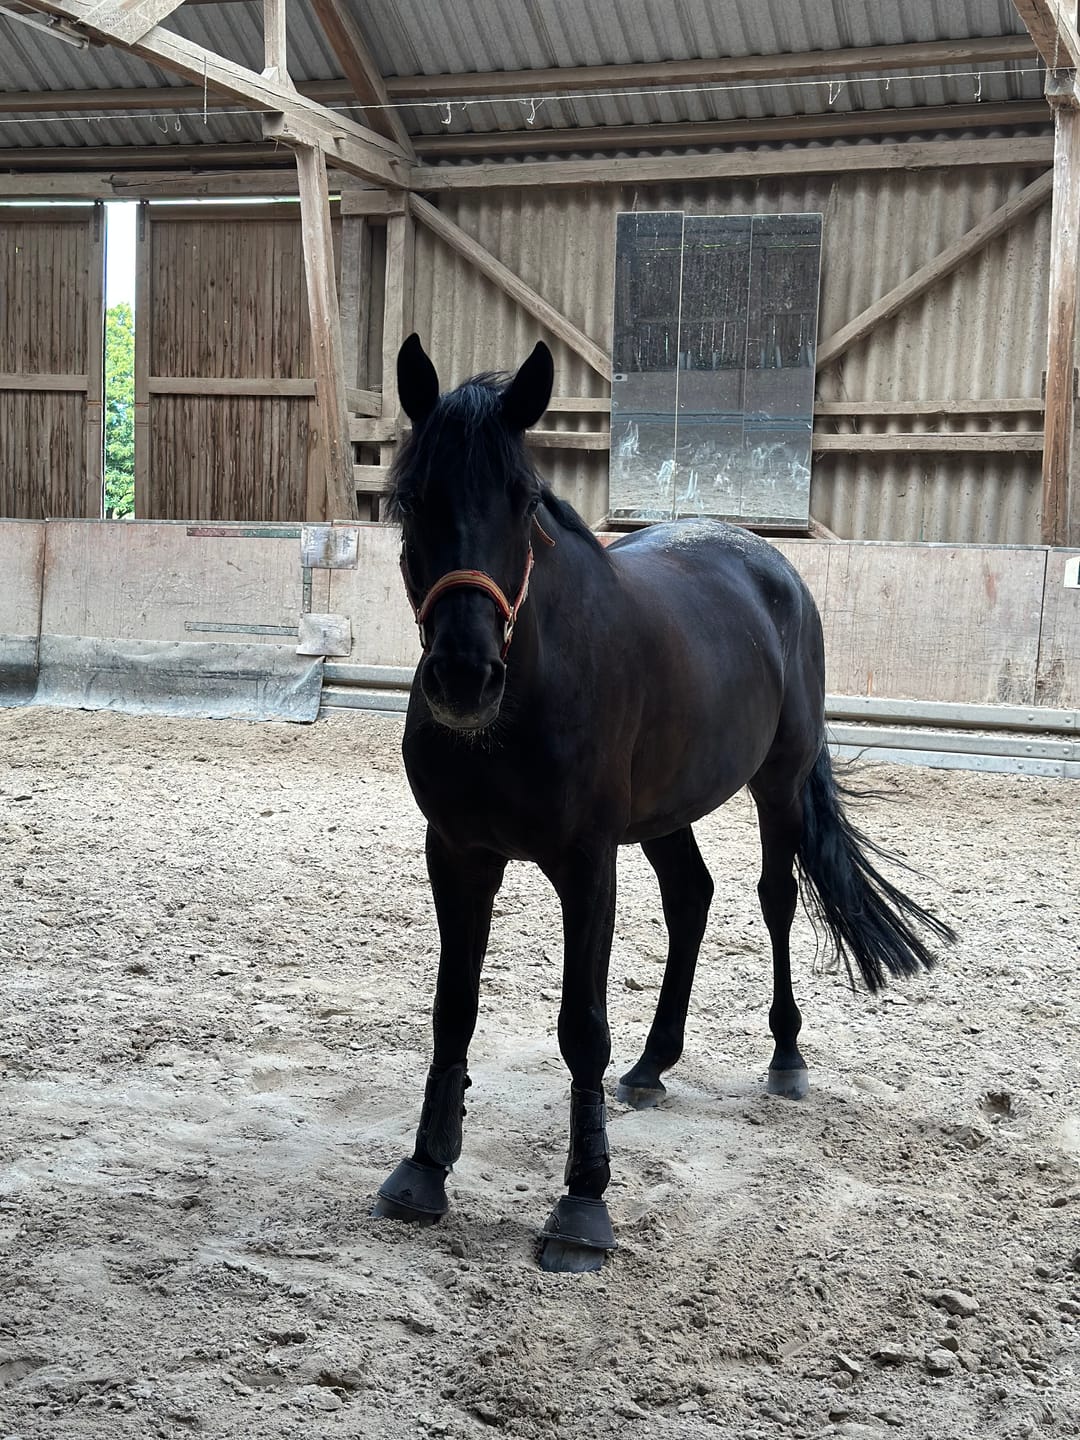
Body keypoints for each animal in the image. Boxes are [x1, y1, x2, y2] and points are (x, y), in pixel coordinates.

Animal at [372, 334, 955, 1273]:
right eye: (414, 497)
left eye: (523, 499)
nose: (465, 676)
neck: (527, 692)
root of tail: (769, 564)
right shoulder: (457, 853)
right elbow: (452, 1008)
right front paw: (425, 1170)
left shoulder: (586, 863)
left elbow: (581, 1026)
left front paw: (582, 1206)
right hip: (669, 811)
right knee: (692, 899)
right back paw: (653, 1065)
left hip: (777, 783)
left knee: (774, 898)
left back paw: (785, 1057)